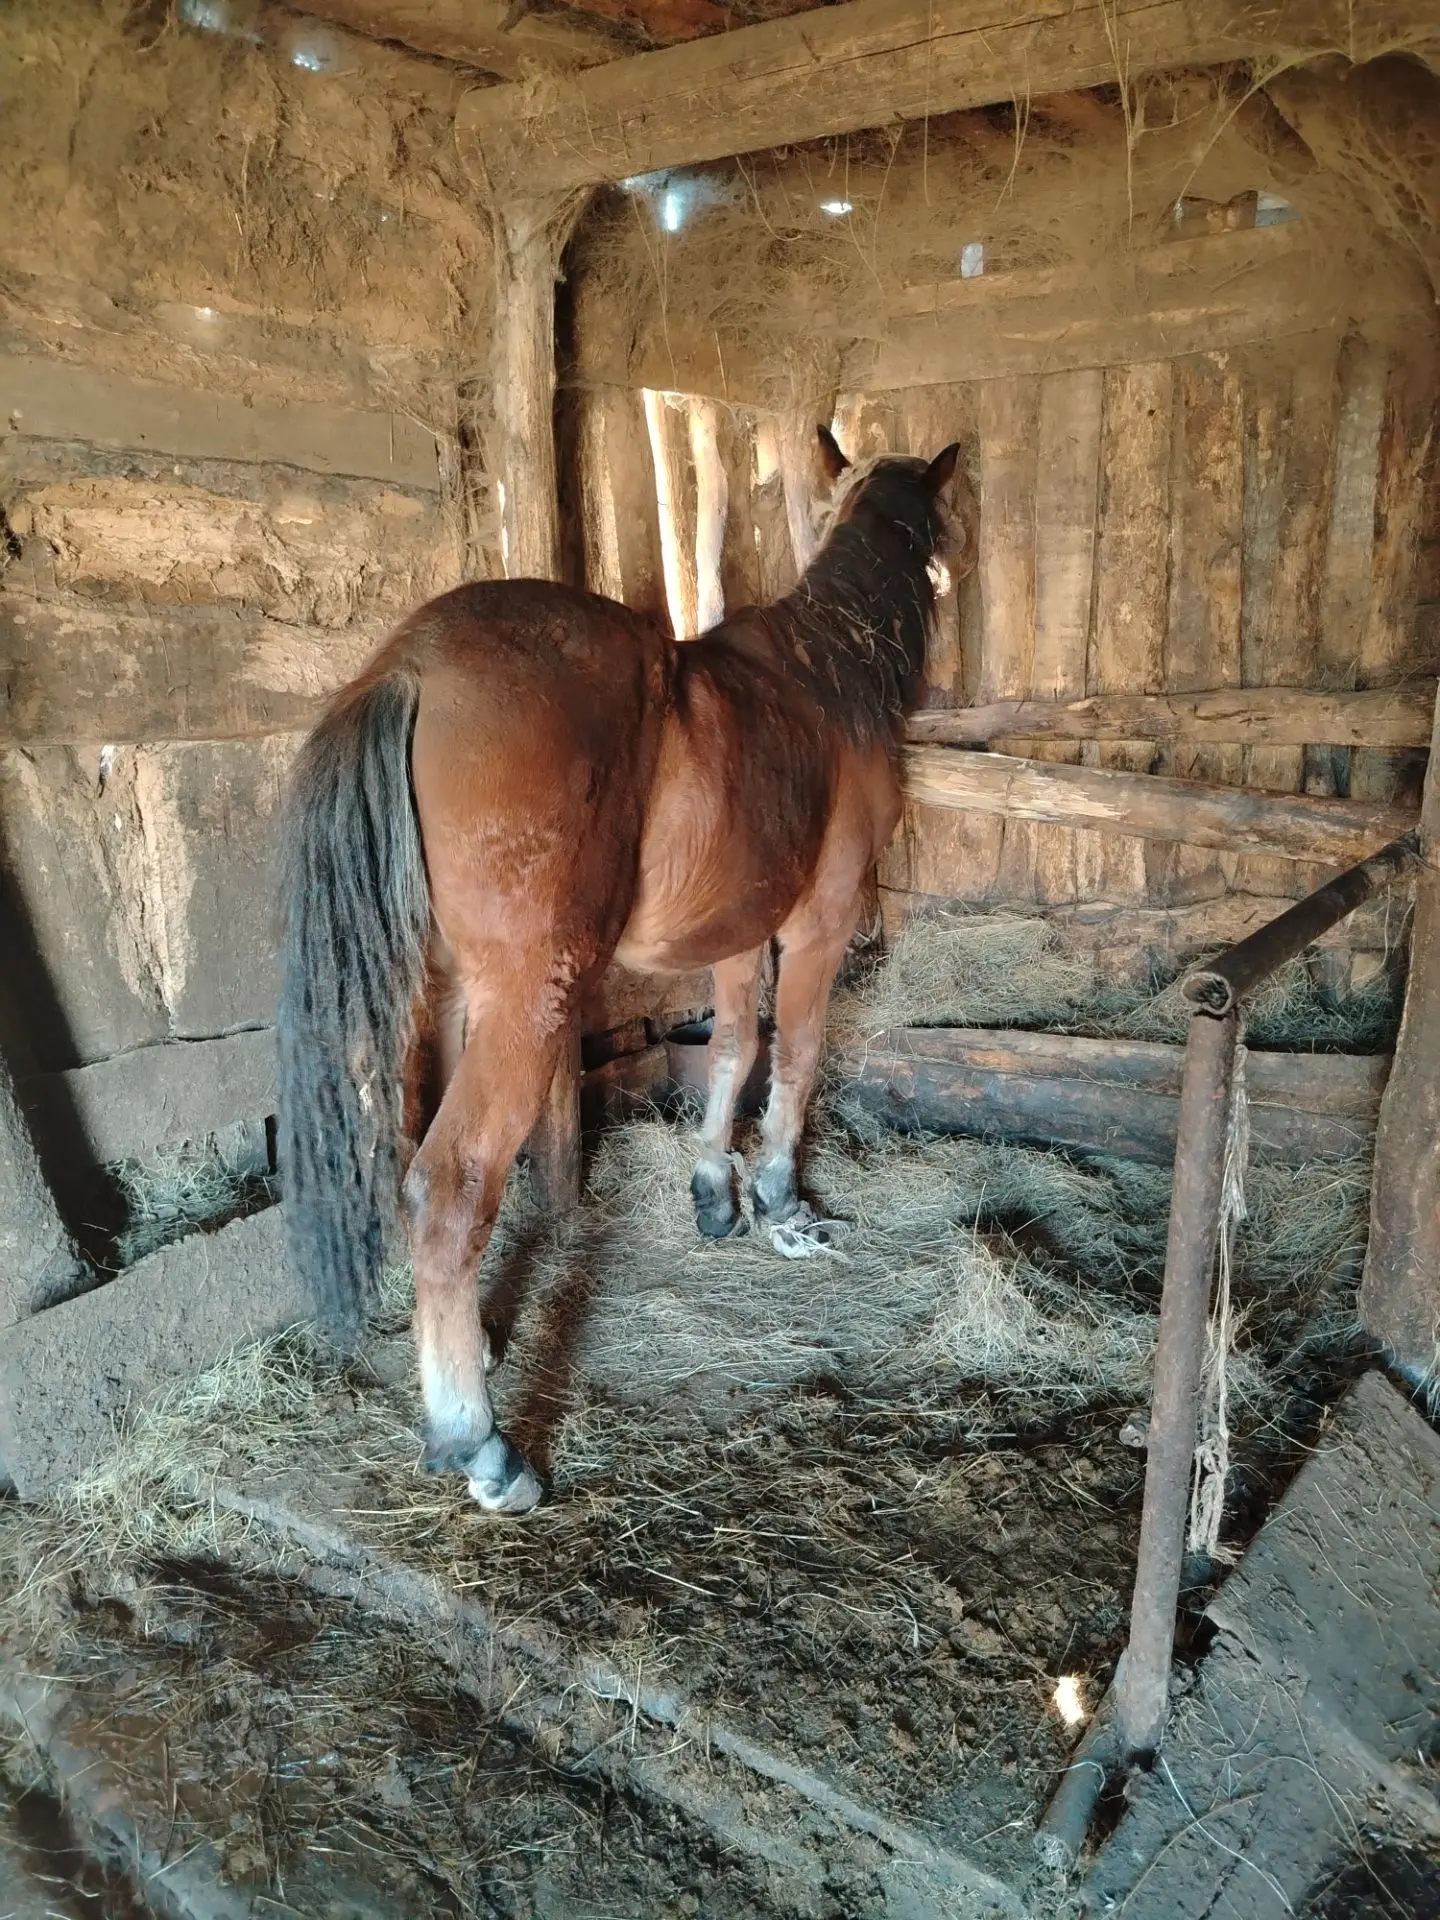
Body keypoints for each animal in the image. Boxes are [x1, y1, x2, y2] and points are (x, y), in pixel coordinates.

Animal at [277, 426, 972, 1516]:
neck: (829, 674)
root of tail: (412, 665)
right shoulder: (815, 927)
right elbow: (799, 1054)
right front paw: (782, 1201)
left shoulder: (736, 936)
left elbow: (732, 1050)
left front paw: (716, 1192)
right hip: (529, 999)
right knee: (450, 1186)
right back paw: (480, 1445)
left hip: (448, 1003)